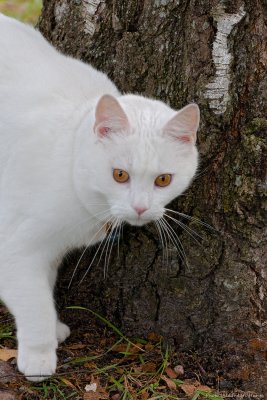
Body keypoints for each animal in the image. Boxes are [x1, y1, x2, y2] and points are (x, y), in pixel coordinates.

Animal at [0, 13, 200, 382]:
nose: (140, 207)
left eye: (163, 180)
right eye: (119, 175)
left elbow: (44, 286)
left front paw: (54, 327)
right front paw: (39, 353)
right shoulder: (14, 246)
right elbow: (33, 301)